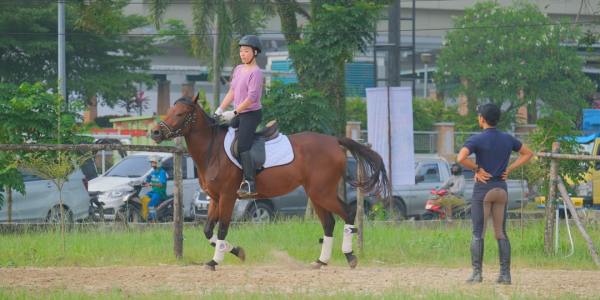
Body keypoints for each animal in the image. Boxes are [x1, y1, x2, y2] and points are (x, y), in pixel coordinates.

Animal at [152, 95, 392, 270]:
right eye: (170, 111)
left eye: (180, 113)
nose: (155, 132)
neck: (213, 151)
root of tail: (334, 141)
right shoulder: (215, 198)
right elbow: (208, 230)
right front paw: (236, 251)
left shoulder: (228, 197)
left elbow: (222, 229)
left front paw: (214, 261)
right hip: (316, 193)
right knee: (329, 223)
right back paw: (320, 261)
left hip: (322, 192)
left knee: (347, 214)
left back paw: (350, 256)